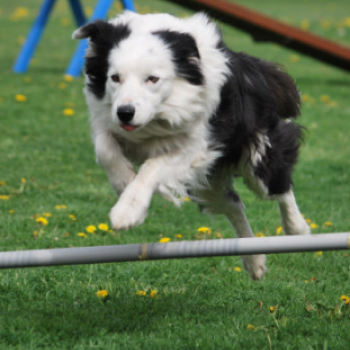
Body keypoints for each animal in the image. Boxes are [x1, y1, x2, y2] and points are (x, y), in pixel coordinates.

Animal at [73, 10, 308, 280]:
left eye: (152, 79)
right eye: (115, 78)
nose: (125, 113)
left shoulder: (197, 145)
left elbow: (152, 167)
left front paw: (128, 211)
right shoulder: (106, 117)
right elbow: (105, 147)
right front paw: (123, 180)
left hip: (257, 155)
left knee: (278, 186)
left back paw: (297, 229)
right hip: (207, 184)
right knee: (232, 204)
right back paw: (254, 261)